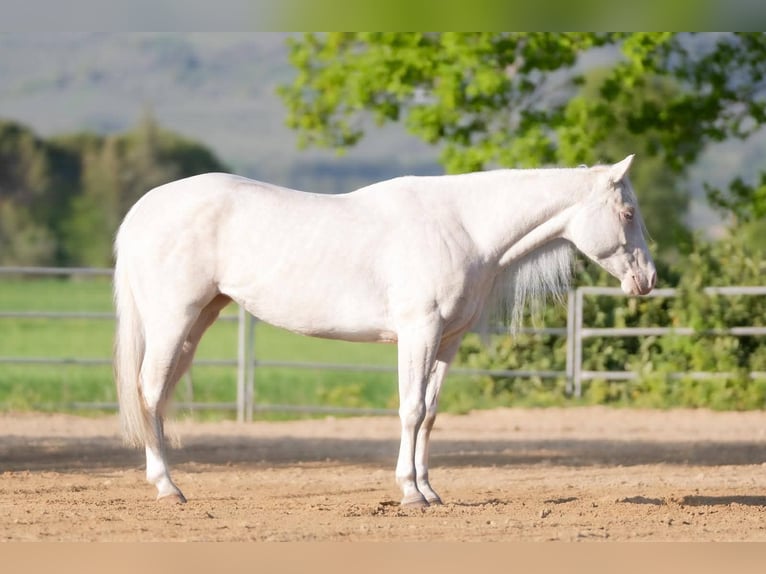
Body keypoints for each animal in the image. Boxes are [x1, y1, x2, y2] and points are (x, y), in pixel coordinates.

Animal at [113, 154, 656, 507]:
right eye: (628, 212)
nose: (648, 280)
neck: (462, 226)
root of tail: (143, 209)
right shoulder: (419, 332)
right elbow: (410, 409)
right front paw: (410, 492)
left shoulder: (447, 342)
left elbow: (430, 414)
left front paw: (431, 490)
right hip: (173, 319)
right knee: (150, 391)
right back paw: (167, 487)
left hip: (198, 319)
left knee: (159, 395)